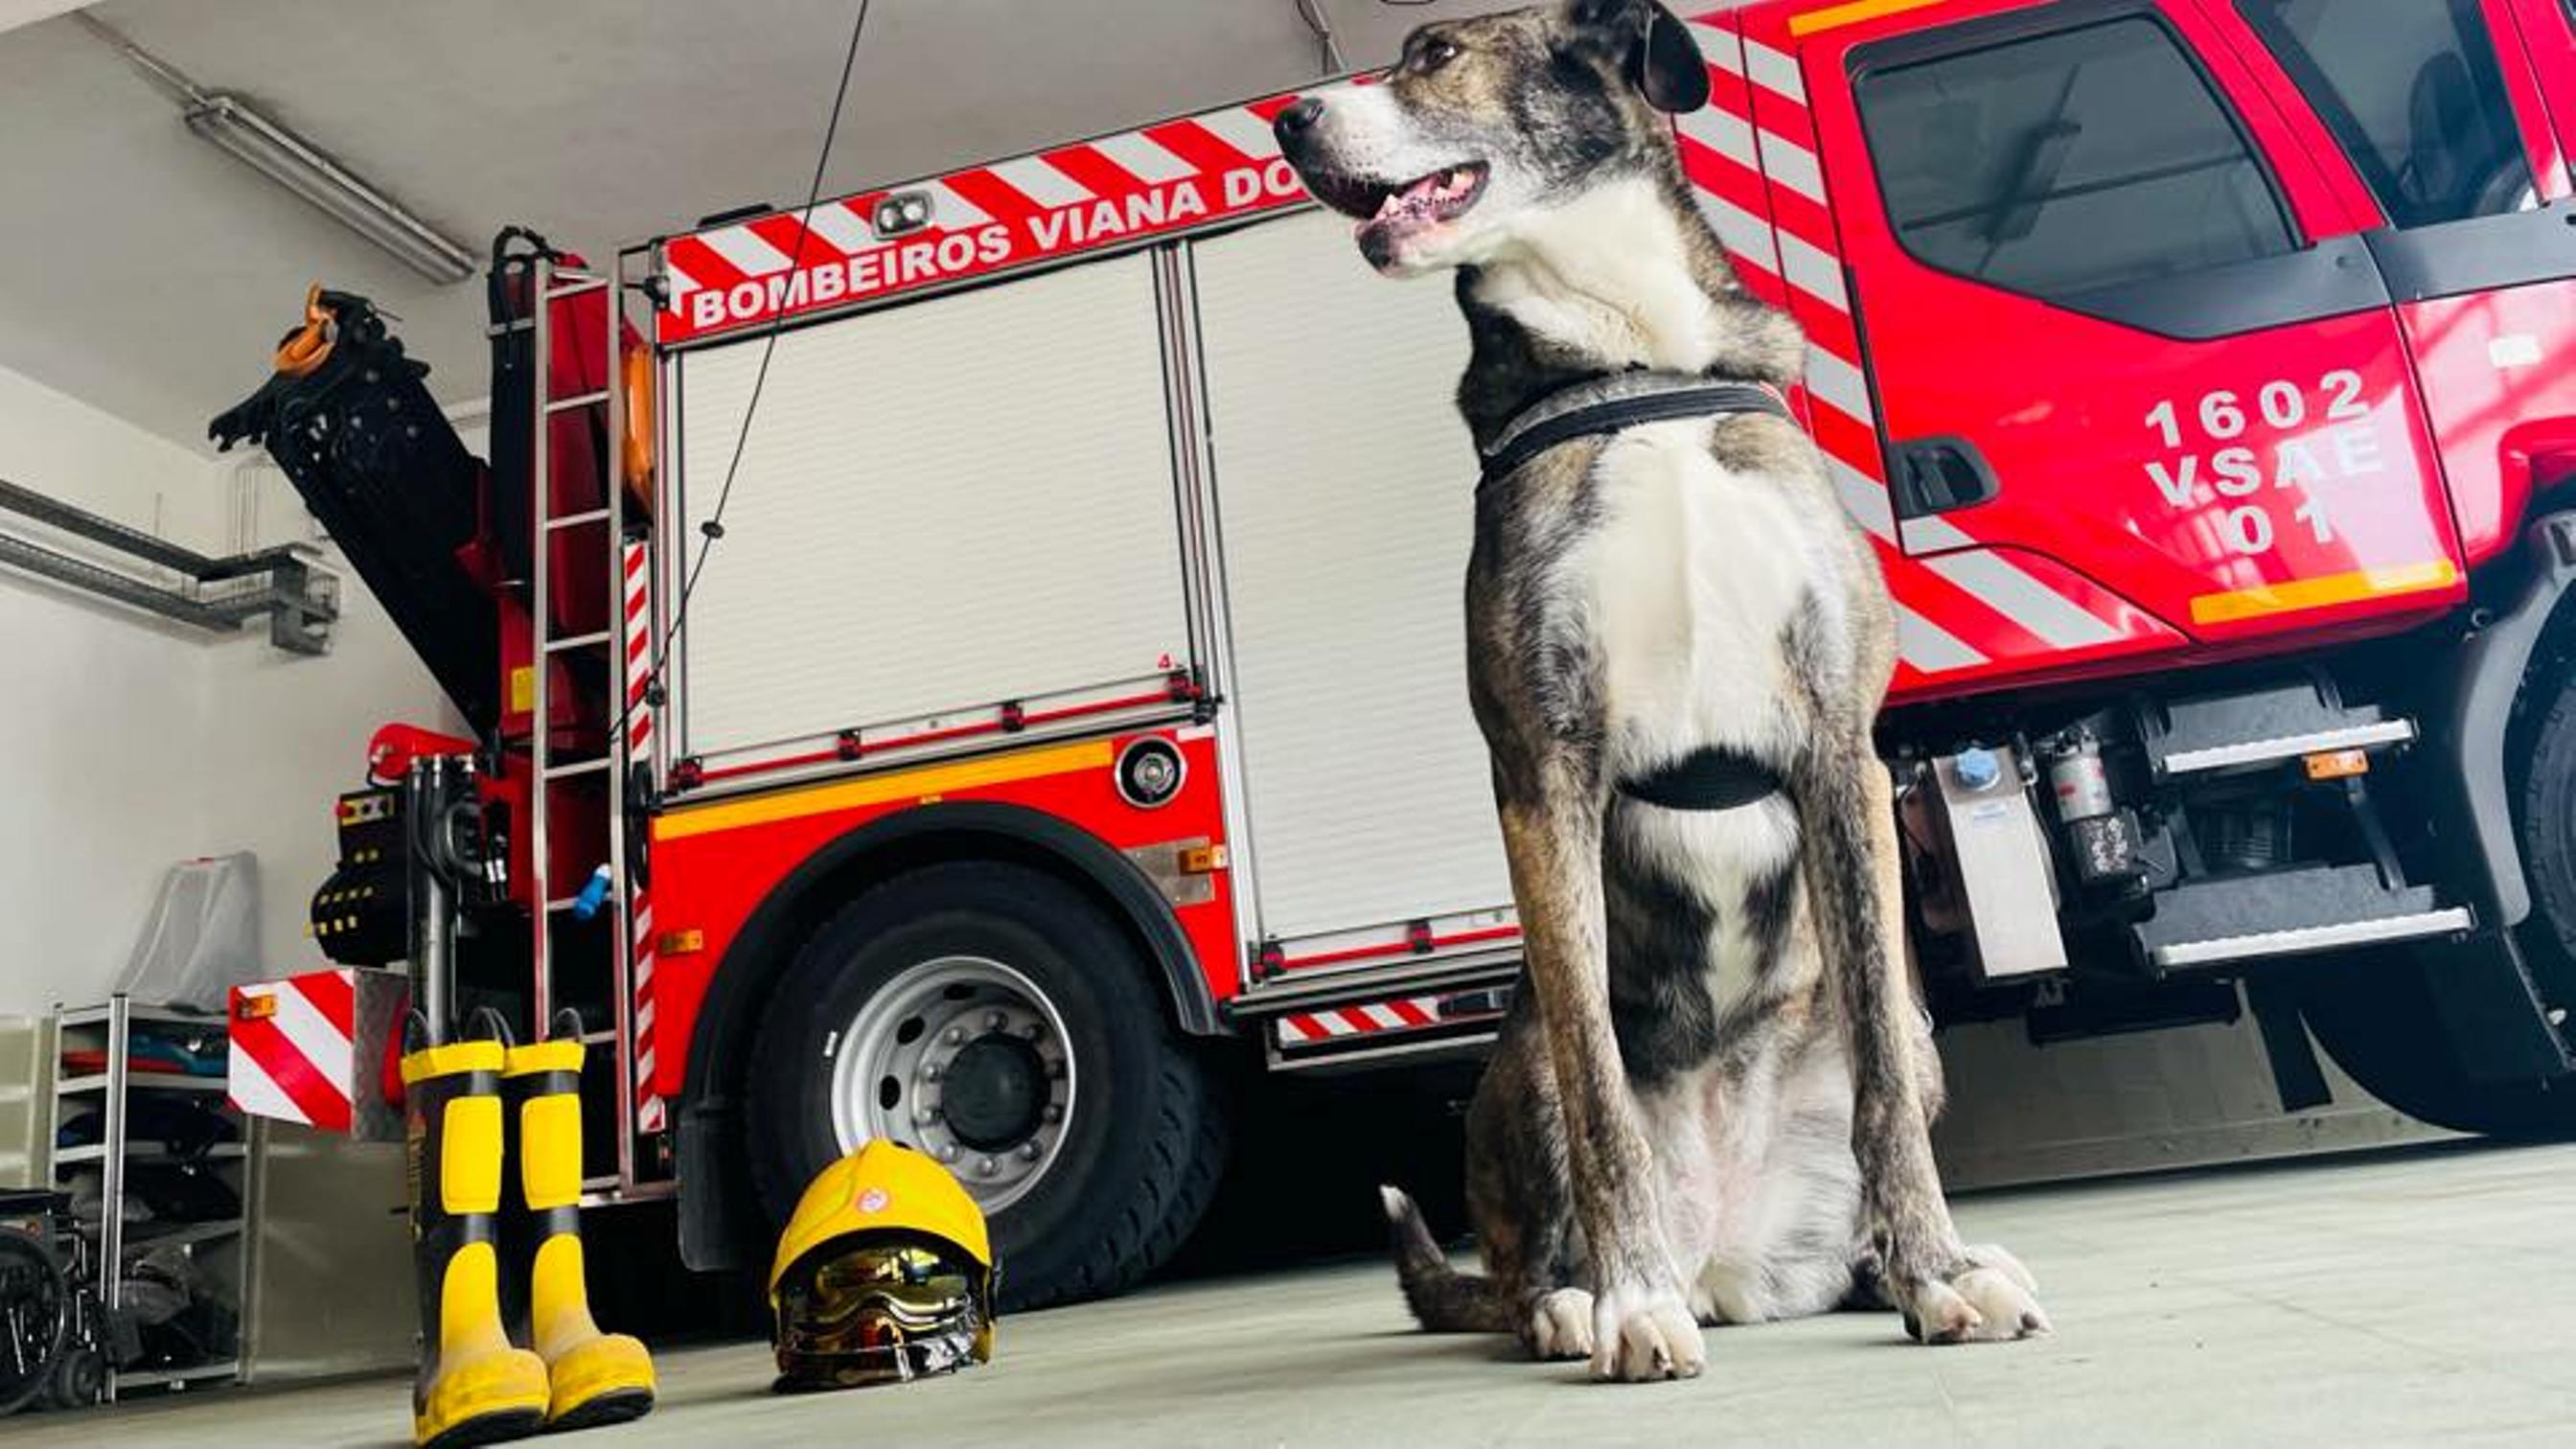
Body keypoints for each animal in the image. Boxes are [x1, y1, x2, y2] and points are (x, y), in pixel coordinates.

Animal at [1272, 0, 2050, 1371]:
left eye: (1435, 53)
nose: (1287, 121)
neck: (1631, 369)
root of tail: (1729, 1255)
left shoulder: (1838, 743)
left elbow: (1886, 1095)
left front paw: (1942, 1270)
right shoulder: (1543, 771)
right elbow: (1600, 1100)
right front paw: (1628, 1301)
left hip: (1907, 1031)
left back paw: (1871, 1269)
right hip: (1518, 1058)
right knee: (1529, 1240)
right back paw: (1584, 1297)